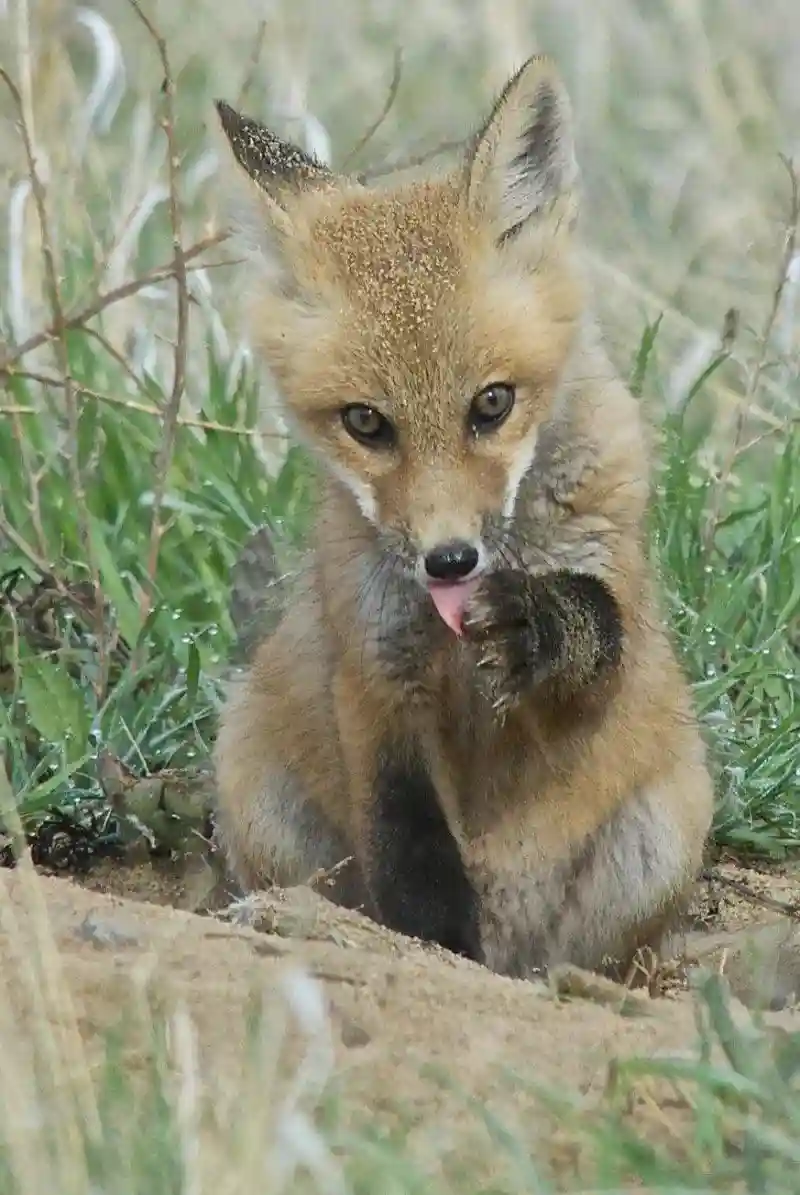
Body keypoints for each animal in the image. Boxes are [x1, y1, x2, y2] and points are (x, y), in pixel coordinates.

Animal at [209, 56, 712, 979]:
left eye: (493, 403)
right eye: (366, 423)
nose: (449, 561)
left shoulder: (605, 608)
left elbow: (596, 634)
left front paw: (538, 625)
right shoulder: (377, 679)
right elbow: (412, 864)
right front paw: (435, 950)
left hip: (665, 832)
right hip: (252, 779)